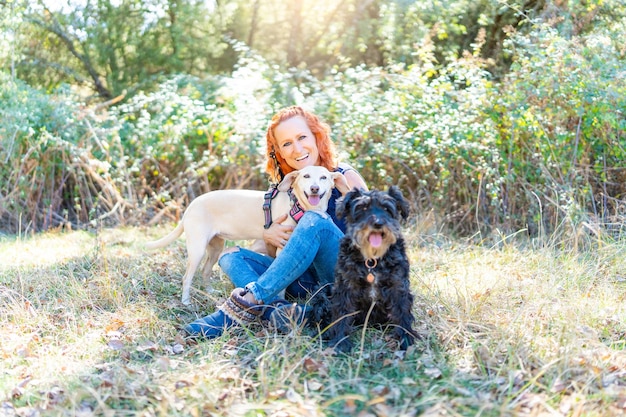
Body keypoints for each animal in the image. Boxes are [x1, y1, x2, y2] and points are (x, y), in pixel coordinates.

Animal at [145, 164, 346, 304]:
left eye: (324, 177)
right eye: (306, 176)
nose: (314, 188)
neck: (300, 207)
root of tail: (191, 206)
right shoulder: (283, 247)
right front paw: (281, 300)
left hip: (216, 248)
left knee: (205, 271)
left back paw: (210, 293)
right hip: (197, 249)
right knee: (187, 277)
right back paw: (186, 301)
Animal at [326, 185, 414, 352]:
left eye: (387, 208)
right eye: (362, 207)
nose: (378, 223)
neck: (372, 260)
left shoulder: (398, 286)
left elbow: (402, 312)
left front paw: (405, 339)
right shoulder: (346, 286)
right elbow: (342, 313)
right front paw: (340, 341)